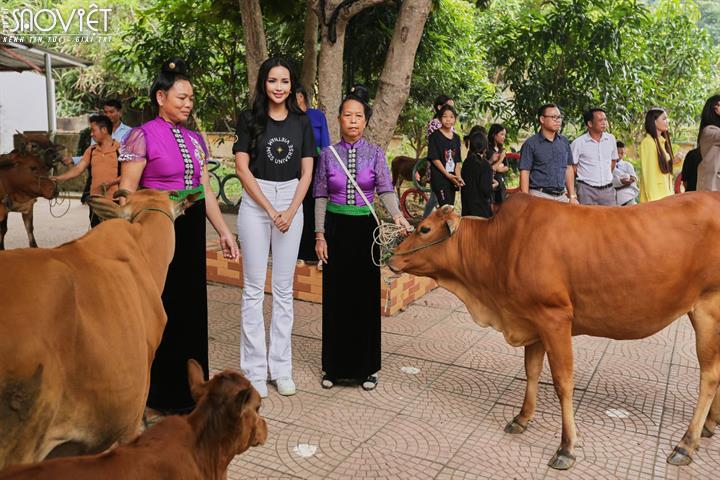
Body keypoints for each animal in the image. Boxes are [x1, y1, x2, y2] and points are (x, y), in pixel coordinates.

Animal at [390, 193, 720, 470]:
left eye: (424, 229)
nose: (391, 256)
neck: (500, 245)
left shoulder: (555, 318)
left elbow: (563, 382)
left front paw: (566, 447)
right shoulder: (533, 322)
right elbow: (532, 371)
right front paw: (522, 418)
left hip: (708, 310)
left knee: (709, 377)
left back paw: (685, 444)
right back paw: (708, 425)